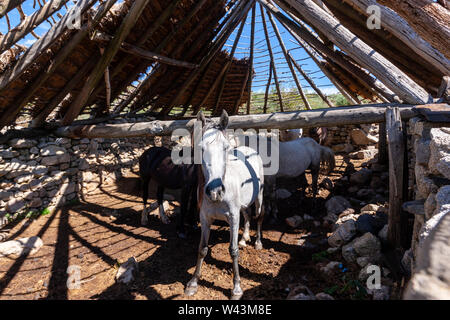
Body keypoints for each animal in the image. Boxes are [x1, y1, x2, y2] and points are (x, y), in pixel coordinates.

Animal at [185, 110, 266, 300]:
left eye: (225, 147)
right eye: (201, 148)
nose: (215, 191)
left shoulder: (233, 218)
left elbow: (233, 250)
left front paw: (236, 288)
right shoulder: (205, 218)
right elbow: (202, 248)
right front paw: (193, 283)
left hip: (259, 196)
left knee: (259, 215)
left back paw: (258, 242)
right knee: (247, 215)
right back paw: (244, 238)